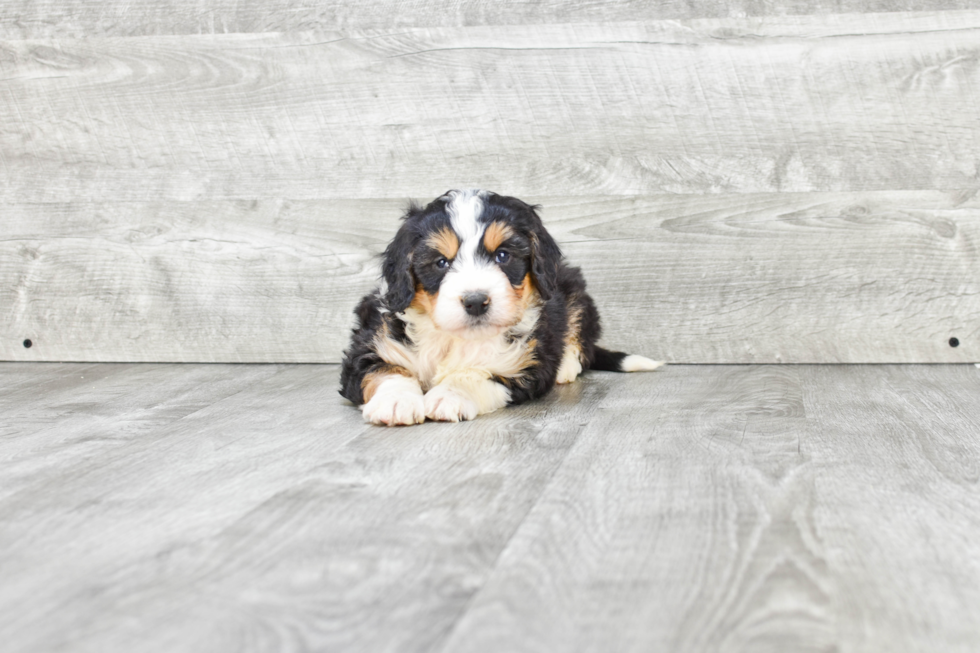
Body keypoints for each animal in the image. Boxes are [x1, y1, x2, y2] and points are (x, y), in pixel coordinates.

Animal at [338, 188, 668, 426]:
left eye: (503, 256)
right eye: (441, 262)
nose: (475, 301)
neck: (455, 338)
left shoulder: (527, 365)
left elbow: (477, 374)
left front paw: (450, 395)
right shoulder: (372, 341)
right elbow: (384, 369)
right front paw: (395, 402)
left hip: (572, 287)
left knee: (580, 336)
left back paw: (567, 365)